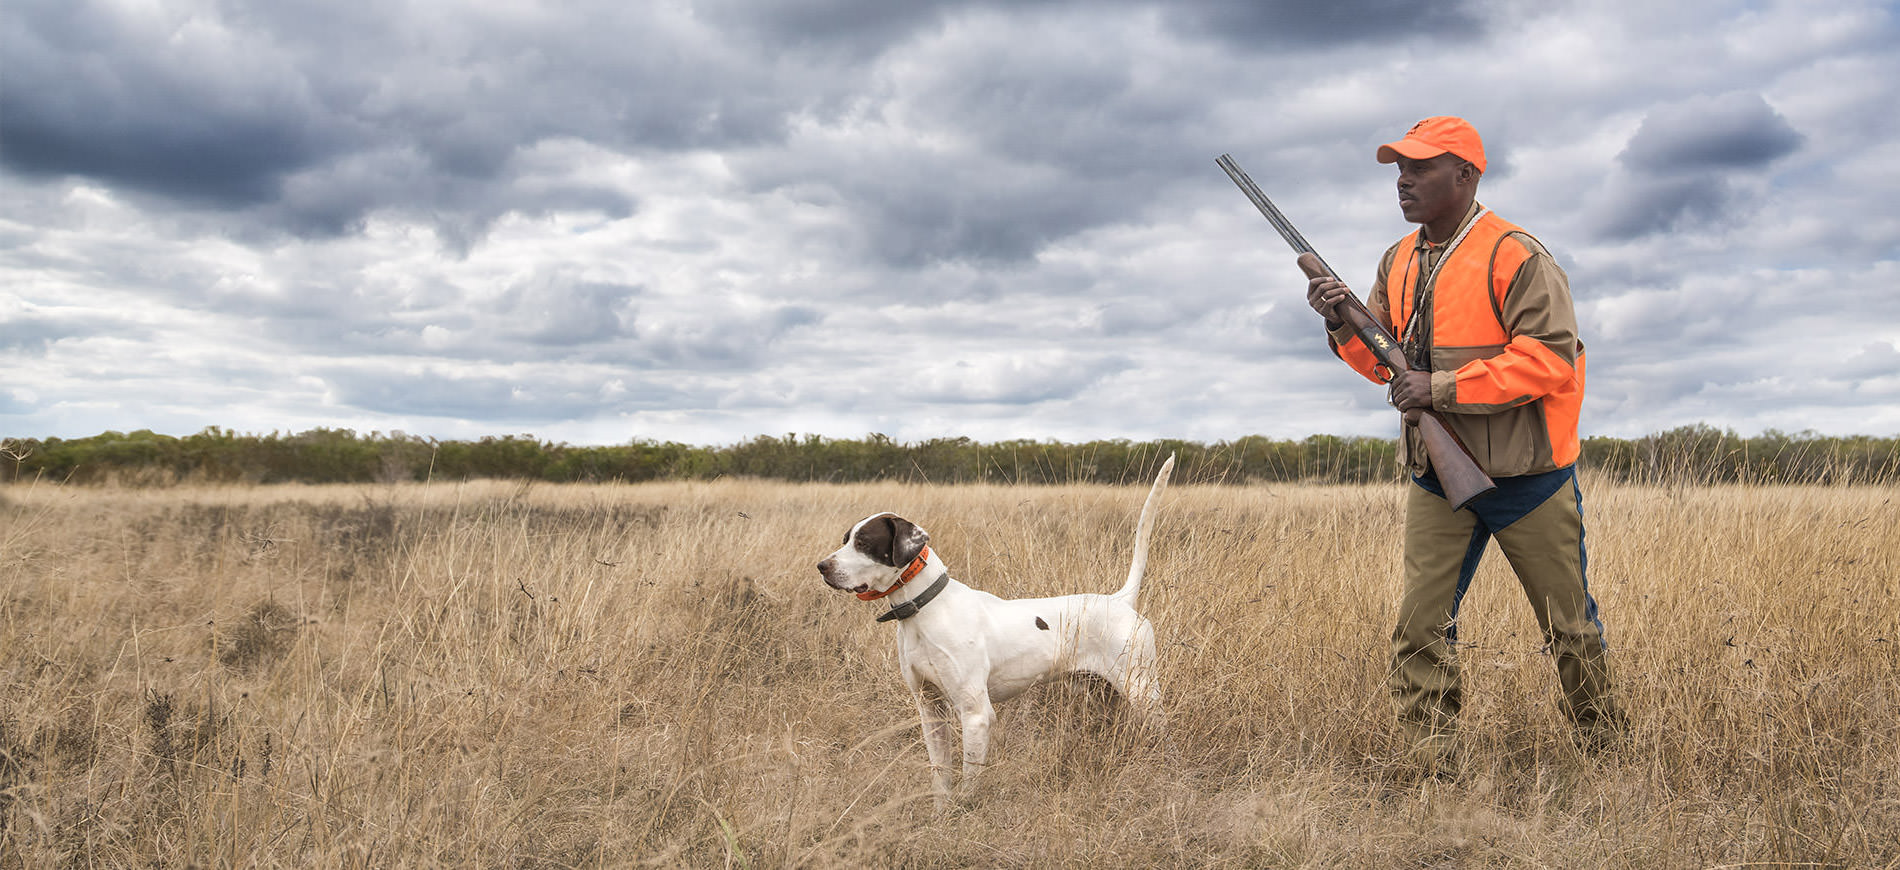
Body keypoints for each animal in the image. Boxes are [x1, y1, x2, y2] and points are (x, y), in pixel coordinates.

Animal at [817, 455, 1170, 801]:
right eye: (846, 540)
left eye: (864, 542)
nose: (822, 566)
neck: (925, 609)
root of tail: (1120, 600)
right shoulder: (930, 708)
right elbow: (940, 774)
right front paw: (940, 810)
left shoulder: (975, 714)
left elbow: (968, 781)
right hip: (1103, 694)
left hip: (1143, 693)